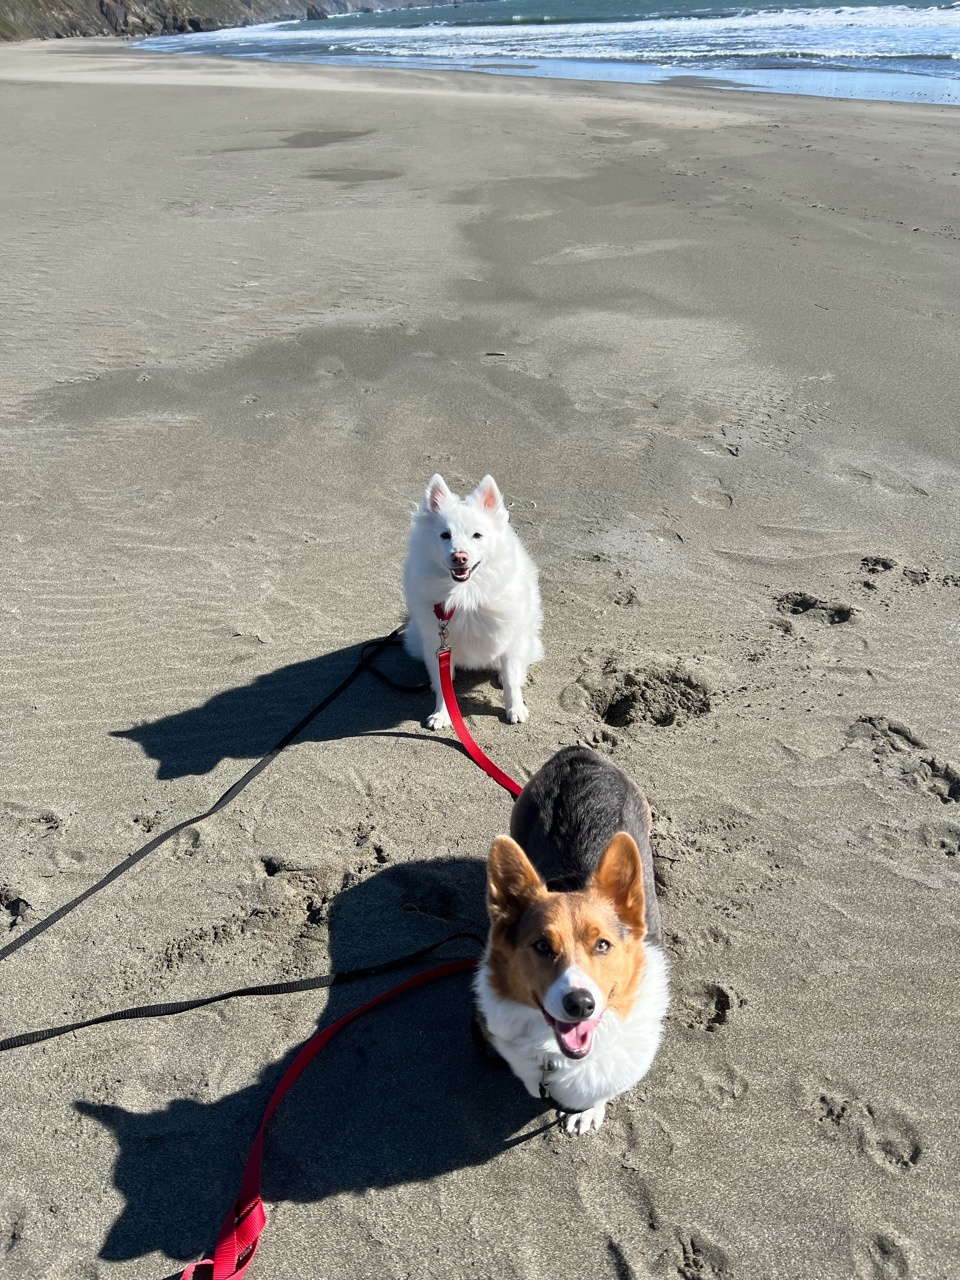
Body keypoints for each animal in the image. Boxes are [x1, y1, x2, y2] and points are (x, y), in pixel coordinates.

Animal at [401, 476, 545, 732]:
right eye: (445, 535)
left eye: (477, 535)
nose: (459, 557)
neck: (465, 594)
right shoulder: (436, 645)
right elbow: (441, 686)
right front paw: (442, 713)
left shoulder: (512, 638)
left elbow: (511, 678)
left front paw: (515, 708)